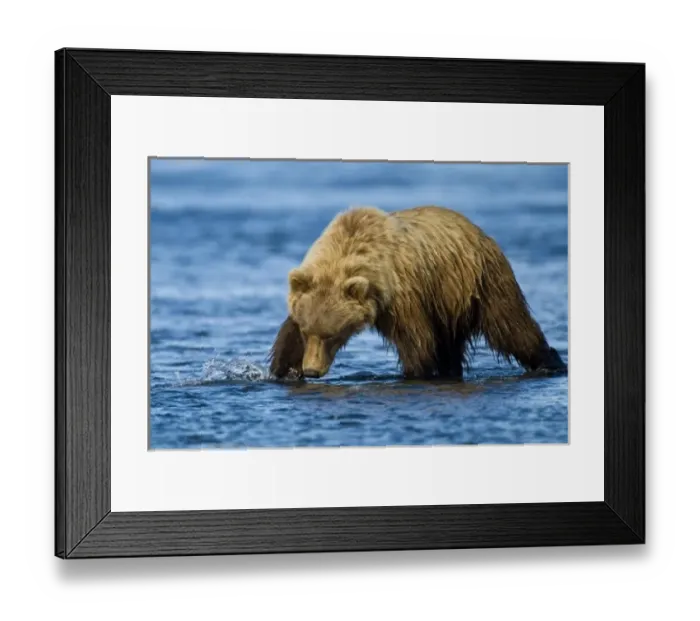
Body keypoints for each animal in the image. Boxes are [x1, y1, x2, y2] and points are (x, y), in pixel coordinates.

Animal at [268, 205, 566, 380]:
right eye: (308, 332)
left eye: (333, 335)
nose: (312, 370)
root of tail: (480, 232)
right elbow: (288, 335)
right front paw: (282, 370)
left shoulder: (404, 297)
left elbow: (416, 341)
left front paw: (413, 372)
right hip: (450, 303)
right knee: (451, 346)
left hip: (481, 283)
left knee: (512, 327)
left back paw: (551, 363)